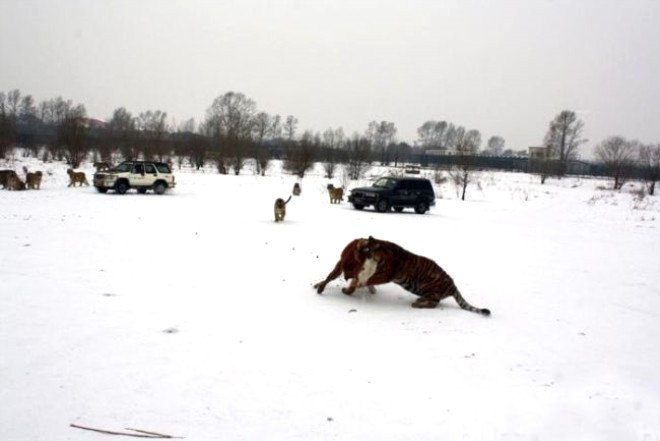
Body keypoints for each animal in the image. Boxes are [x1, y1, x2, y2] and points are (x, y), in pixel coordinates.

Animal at [314, 235, 490, 314]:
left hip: (431, 290)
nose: (361, 243)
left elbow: (364, 280)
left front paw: (352, 287)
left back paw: (418, 304)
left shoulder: (384, 275)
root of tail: (453, 285)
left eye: (367, 248)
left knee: (434, 303)